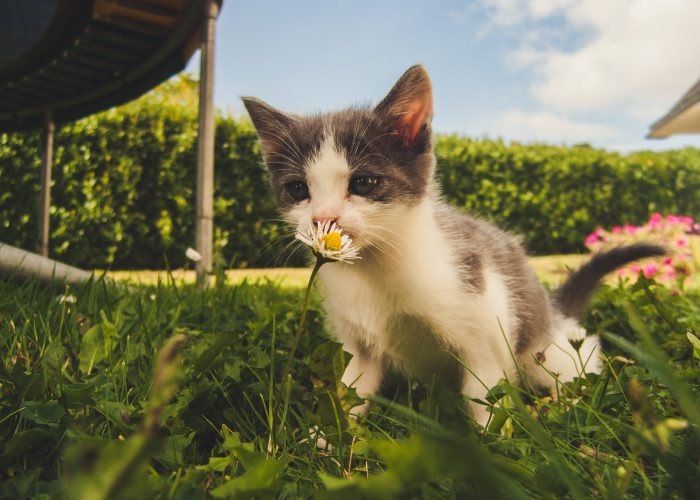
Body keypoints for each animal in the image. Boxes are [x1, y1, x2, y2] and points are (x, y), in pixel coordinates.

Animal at [243, 65, 664, 426]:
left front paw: (494, 447)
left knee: (576, 359)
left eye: (363, 183)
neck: (376, 268)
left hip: (545, 349)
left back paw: (566, 403)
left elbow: (484, 397)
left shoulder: (486, 324)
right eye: (298, 189)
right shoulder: (358, 343)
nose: (323, 218)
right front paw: (325, 441)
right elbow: (351, 390)